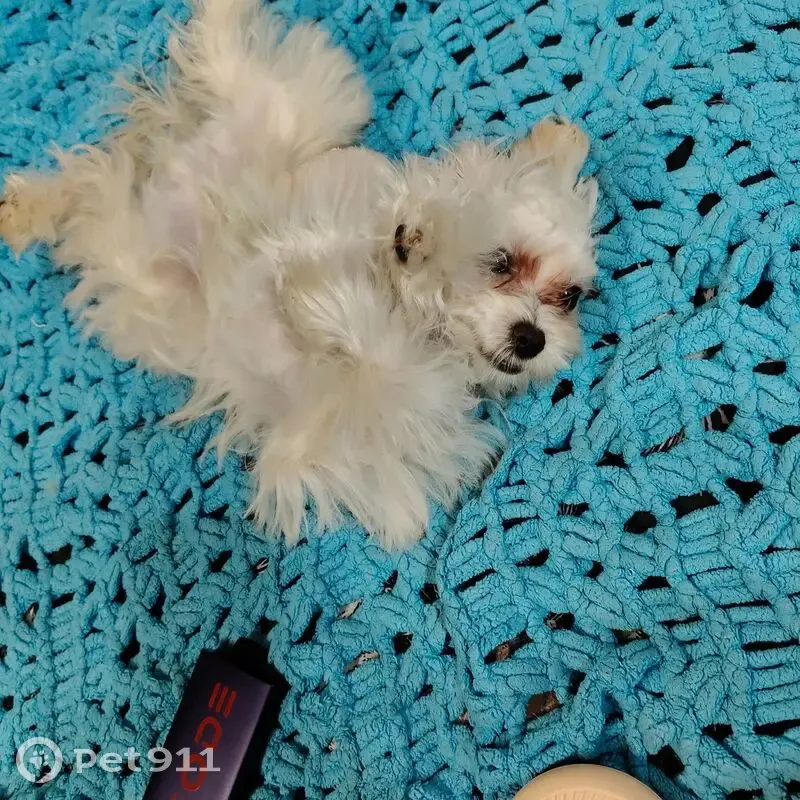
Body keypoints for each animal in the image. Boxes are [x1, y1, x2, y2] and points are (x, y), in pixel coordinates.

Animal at [0, 0, 597, 548]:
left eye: (569, 296)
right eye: (501, 262)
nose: (533, 339)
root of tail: (177, 167)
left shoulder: (353, 444)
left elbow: (380, 369)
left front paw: (333, 294)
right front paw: (414, 250)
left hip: (130, 248)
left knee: (92, 186)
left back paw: (26, 209)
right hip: (285, 108)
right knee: (221, 59)